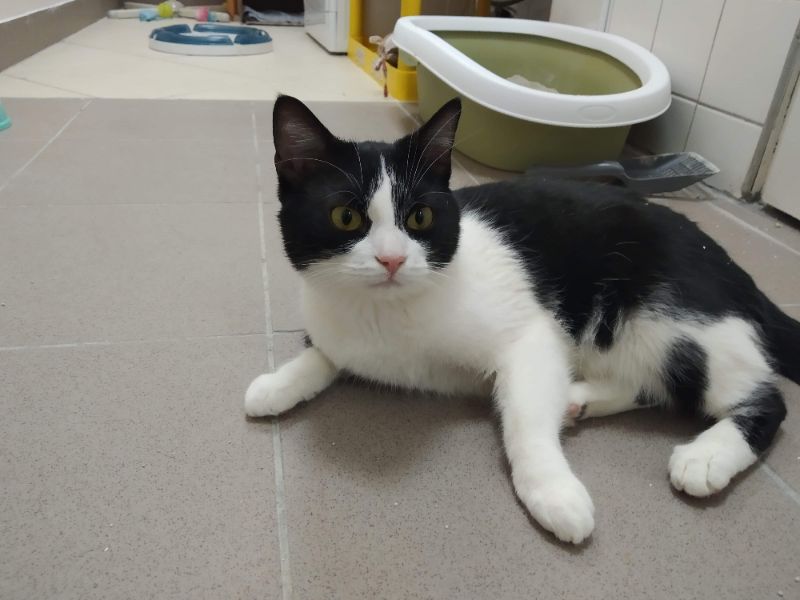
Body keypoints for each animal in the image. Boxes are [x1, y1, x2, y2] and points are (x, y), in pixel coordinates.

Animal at [245, 95, 798, 544]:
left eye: (420, 217)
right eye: (346, 218)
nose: (391, 260)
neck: (384, 315)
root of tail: (729, 263)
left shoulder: (531, 335)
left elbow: (526, 418)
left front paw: (552, 491)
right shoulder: (332, 321)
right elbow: (323, 352)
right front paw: (277, 384)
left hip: (669, 317)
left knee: (762, 397)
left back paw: (705, 457)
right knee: (653, 384)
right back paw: (580, 398)